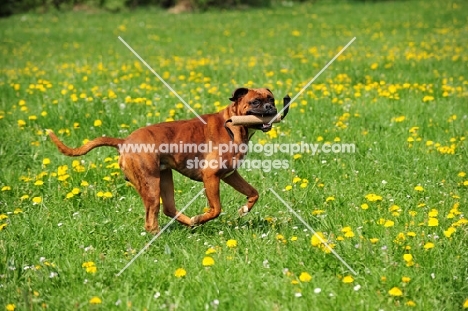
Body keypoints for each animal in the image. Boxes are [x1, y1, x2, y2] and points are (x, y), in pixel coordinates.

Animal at [49, 89, 288, 233]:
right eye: (255, 102)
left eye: (271, 99)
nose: (271, 108)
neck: (232, 125)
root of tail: (125, 141)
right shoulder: (211, 177)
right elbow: (216, 209)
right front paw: (203, 217)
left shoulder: (230, 175)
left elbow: (253, 193)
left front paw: (244, 209)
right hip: (151, 186)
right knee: (151, 217)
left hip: (164, 179)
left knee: (169, 209)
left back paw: (188, 223)